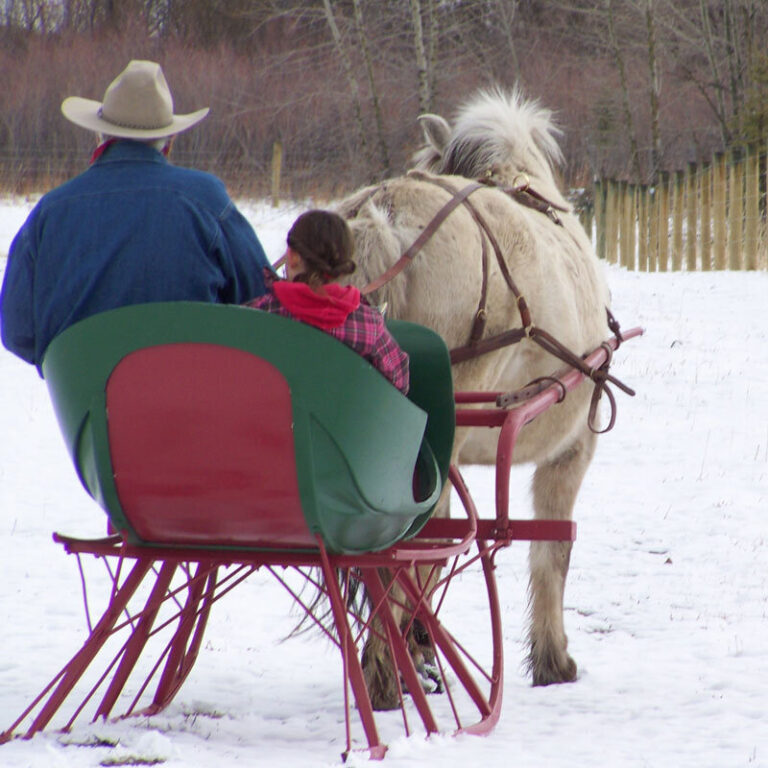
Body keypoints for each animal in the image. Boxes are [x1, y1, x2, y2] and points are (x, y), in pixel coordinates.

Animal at [336, 87, 614, 708]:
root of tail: (383, 218)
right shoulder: (573, 447)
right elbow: (553, 550)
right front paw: (554, 658)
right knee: (420, 540)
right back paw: (390, 673)